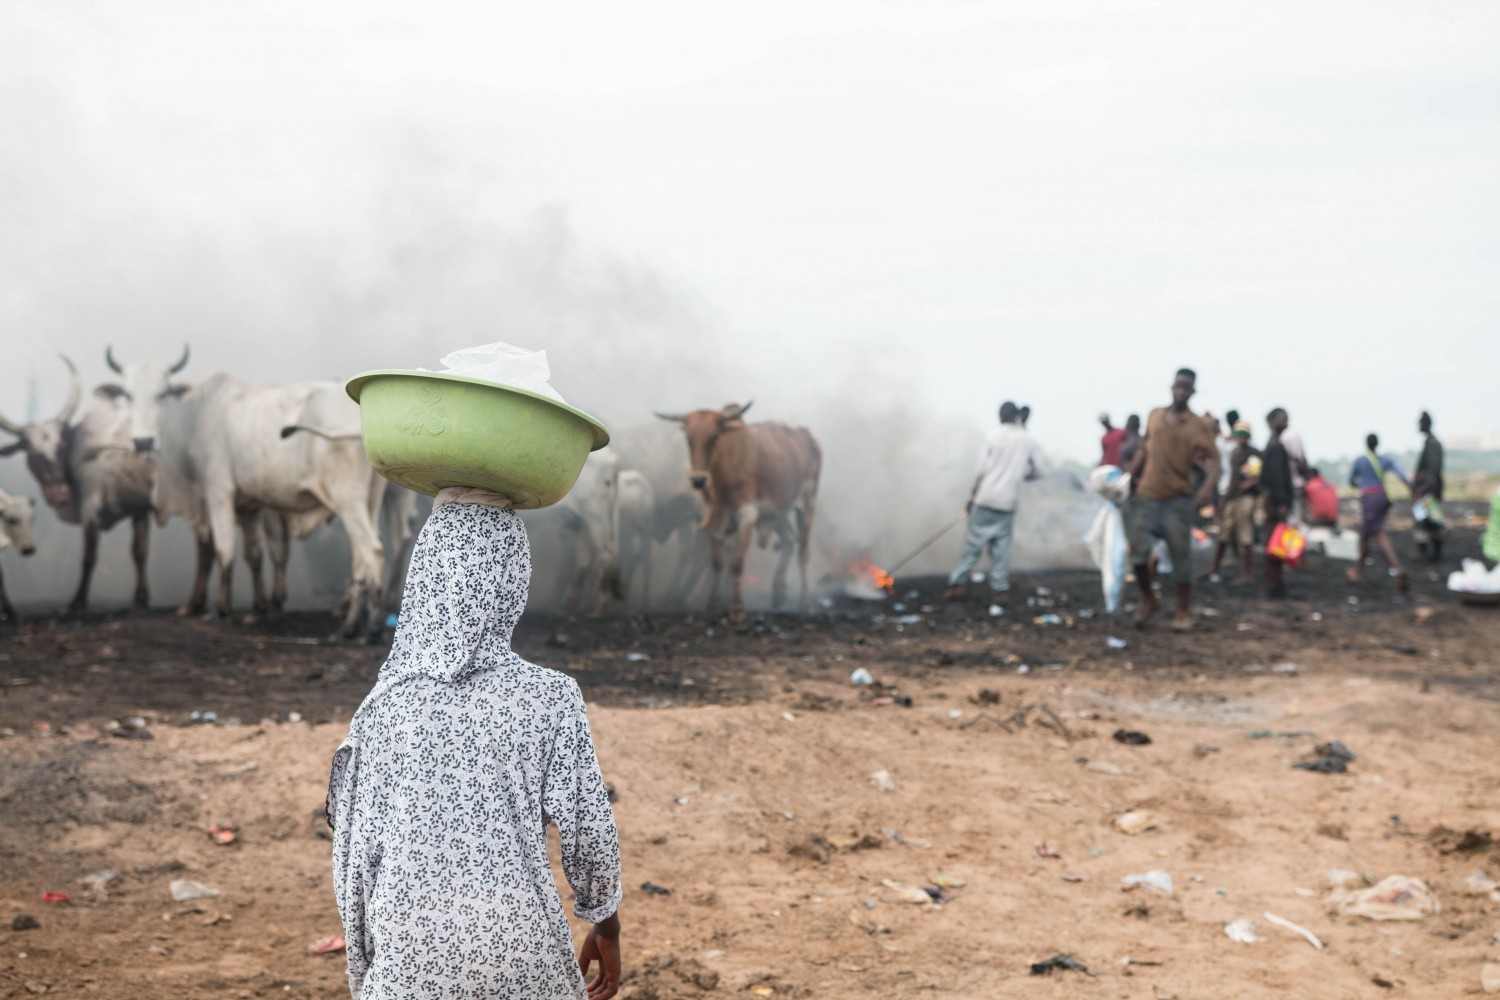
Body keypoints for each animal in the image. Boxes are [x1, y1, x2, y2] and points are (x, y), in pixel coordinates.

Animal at [104, 347, 387, 638]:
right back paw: (355, 624)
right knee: (362, 560)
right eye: (127, 394)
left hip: (347, 500)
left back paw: (363, 627)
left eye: (162, 394)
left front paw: (221, 609)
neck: (198, 415)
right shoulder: (249, 506)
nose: (143, 441)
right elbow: (253, 554)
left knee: (372, 552)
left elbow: (224, 549)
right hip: (369, 501)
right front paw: (259, 609)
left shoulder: (219, 492)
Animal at [657, 401, 822, 617]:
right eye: (689, 438)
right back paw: (778, 592)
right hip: (779, 510)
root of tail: (808, 435)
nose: (698, 479)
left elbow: (736, 562)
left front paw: (736, 607)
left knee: (803, 552)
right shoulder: (714, 518)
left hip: (807, 503)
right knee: (788, 541)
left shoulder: (747, 514)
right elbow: (718, 561)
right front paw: (713, 604)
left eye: (715, 436)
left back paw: (805, 603)